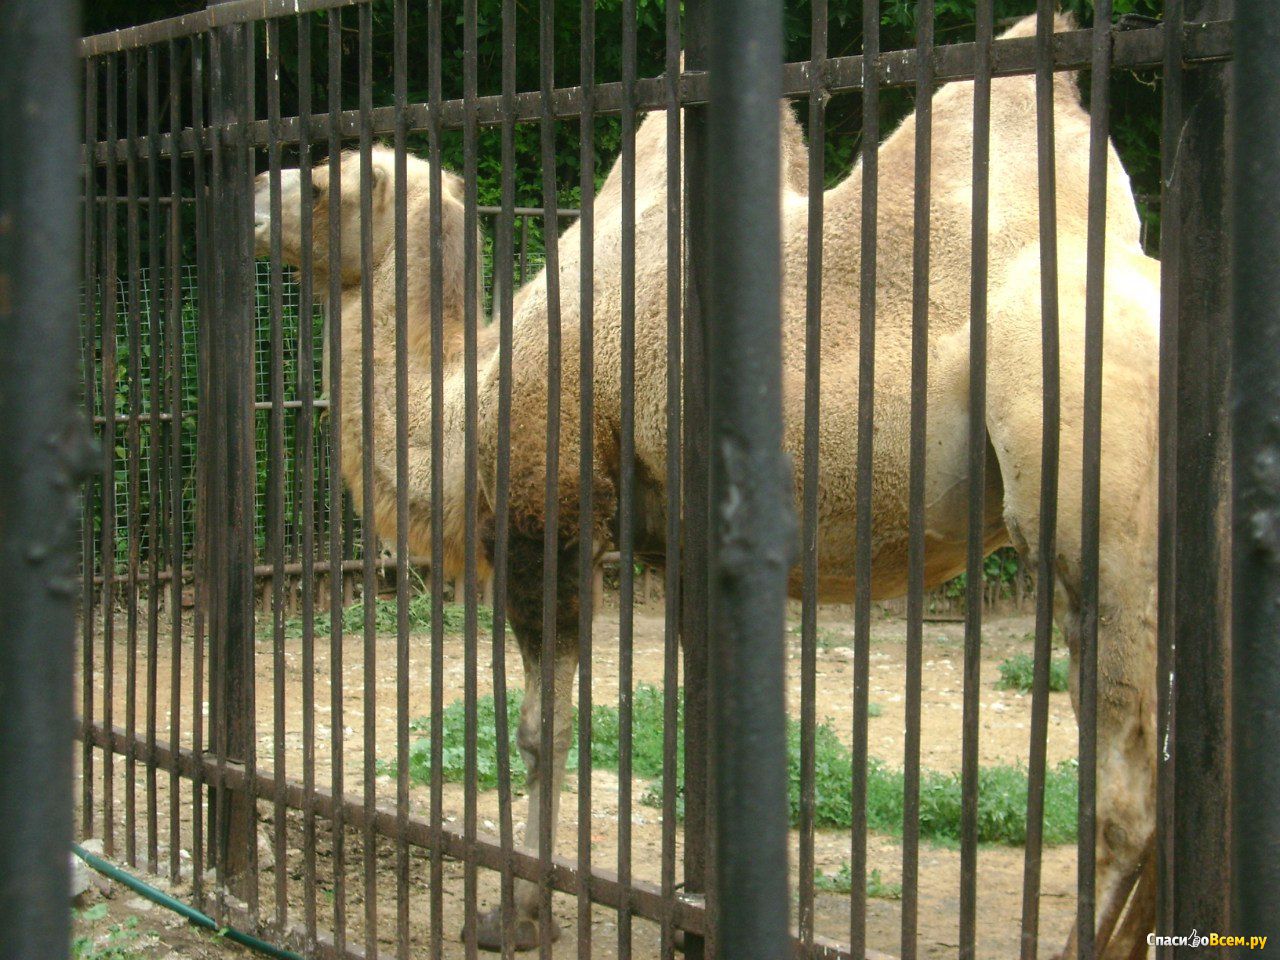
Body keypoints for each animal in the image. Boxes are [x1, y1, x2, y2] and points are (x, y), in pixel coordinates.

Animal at [254, 11, 1167, 957]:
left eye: (318, 186)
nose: (252, 194)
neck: (472, 394)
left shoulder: (551, 511)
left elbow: (543, 731)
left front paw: (515, 915)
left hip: (1092, 485)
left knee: (1128, 786)